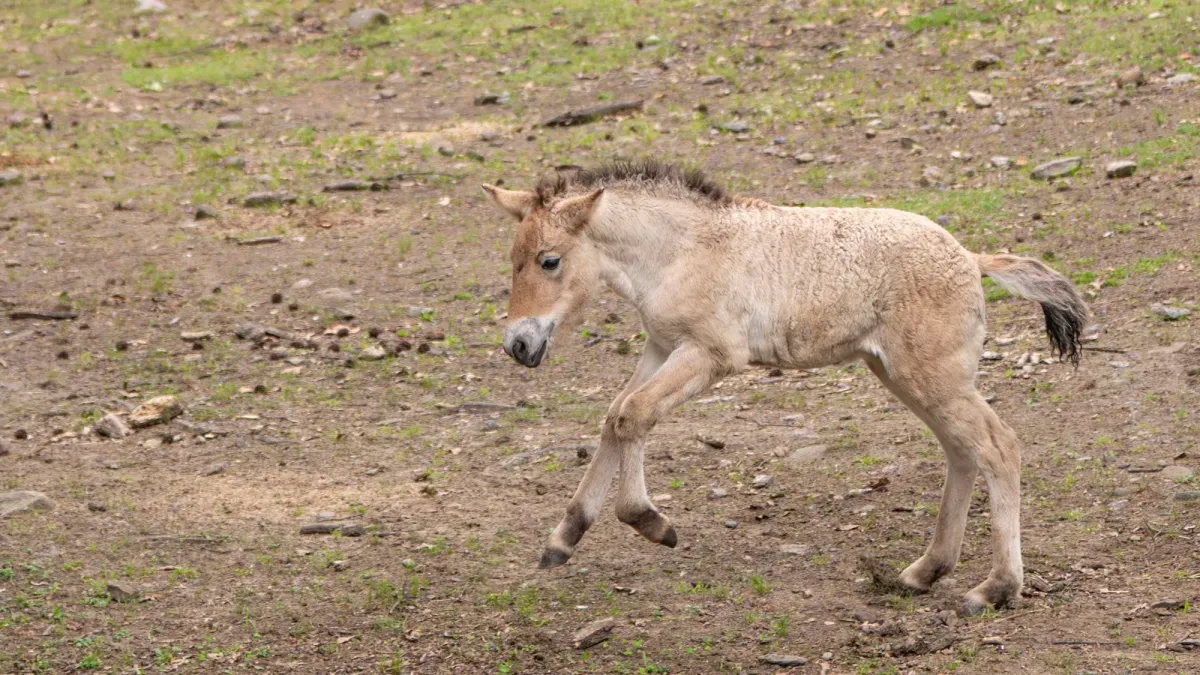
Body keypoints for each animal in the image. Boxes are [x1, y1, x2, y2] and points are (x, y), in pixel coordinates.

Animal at [482, 160, 1086, 615]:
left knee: (998, 446)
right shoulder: (660, 345)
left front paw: (652, 523)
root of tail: (970, 257)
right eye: (511, 261)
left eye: (550, 260)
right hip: (903, 375)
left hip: (930, 376)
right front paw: (563, 539)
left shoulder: (710, 355)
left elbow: (634, 415)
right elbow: (616, 416)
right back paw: (923, 571)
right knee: (962, 453)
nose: (518, 344)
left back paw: (995, 589)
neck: (682, 249)